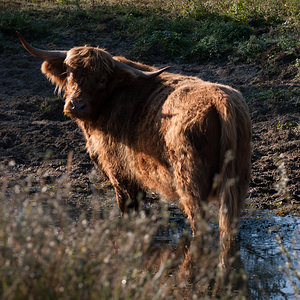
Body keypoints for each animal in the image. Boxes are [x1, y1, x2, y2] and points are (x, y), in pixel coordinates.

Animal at [18, 33, 251, 264]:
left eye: (101, 80)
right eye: (69, 74)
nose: (76, 105)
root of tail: (221, 98)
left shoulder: (120, 171)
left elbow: (127, 207)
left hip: (190, 183)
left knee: (199, 223)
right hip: (235, 184)